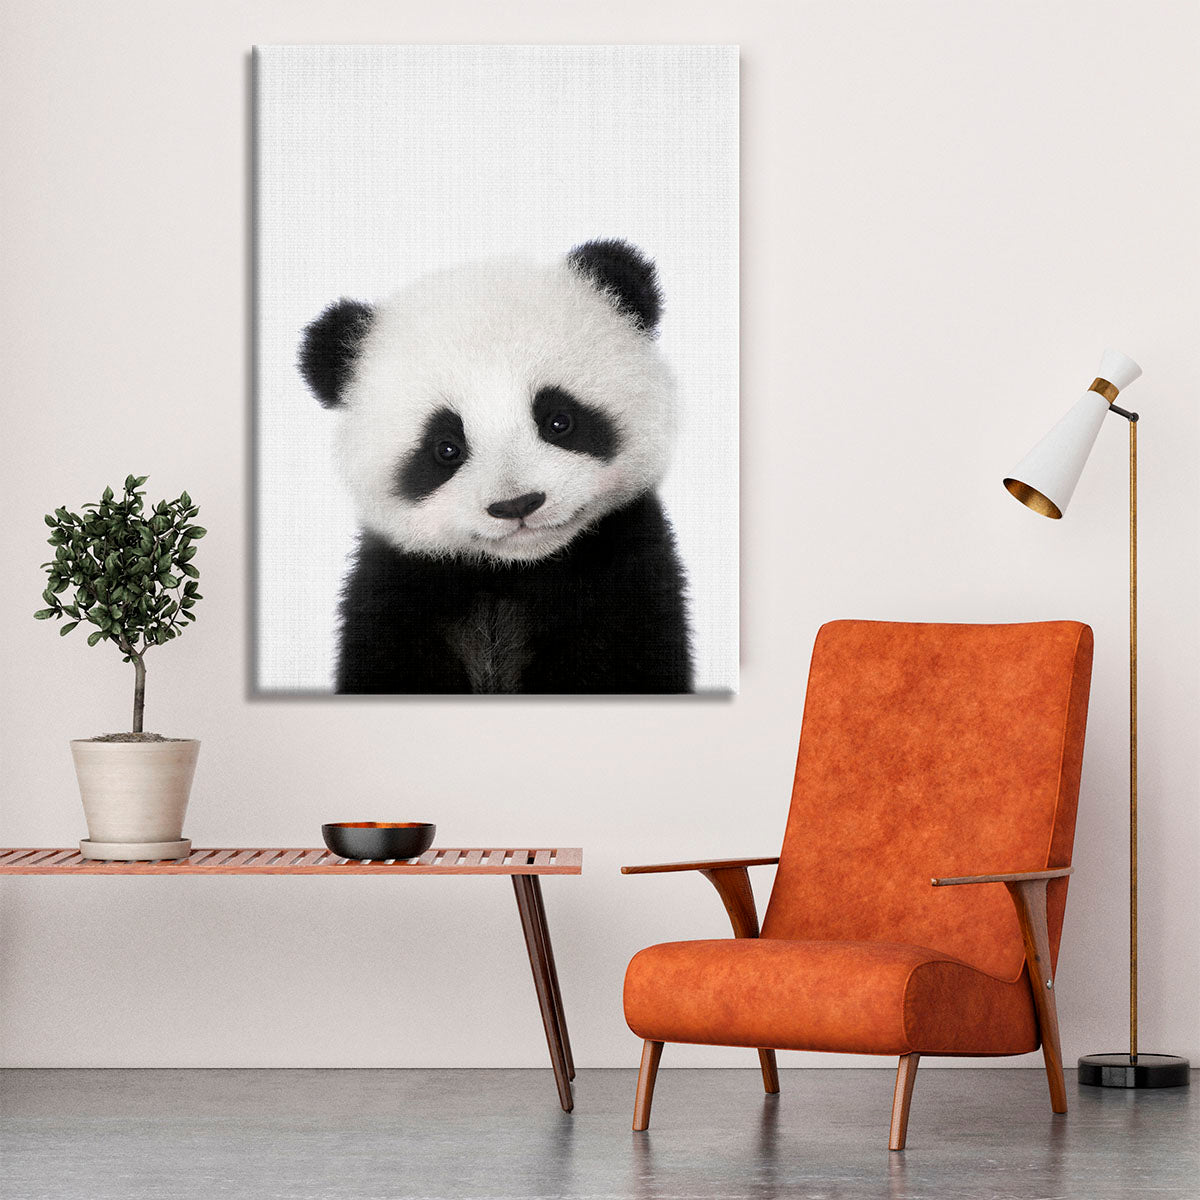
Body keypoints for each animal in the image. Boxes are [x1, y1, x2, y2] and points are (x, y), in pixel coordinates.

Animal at [298, 239, 694, 694]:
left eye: (559, 421)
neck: (512, 573)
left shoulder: (625, 580)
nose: (517, 504)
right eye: (446, 448)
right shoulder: (396, 593)